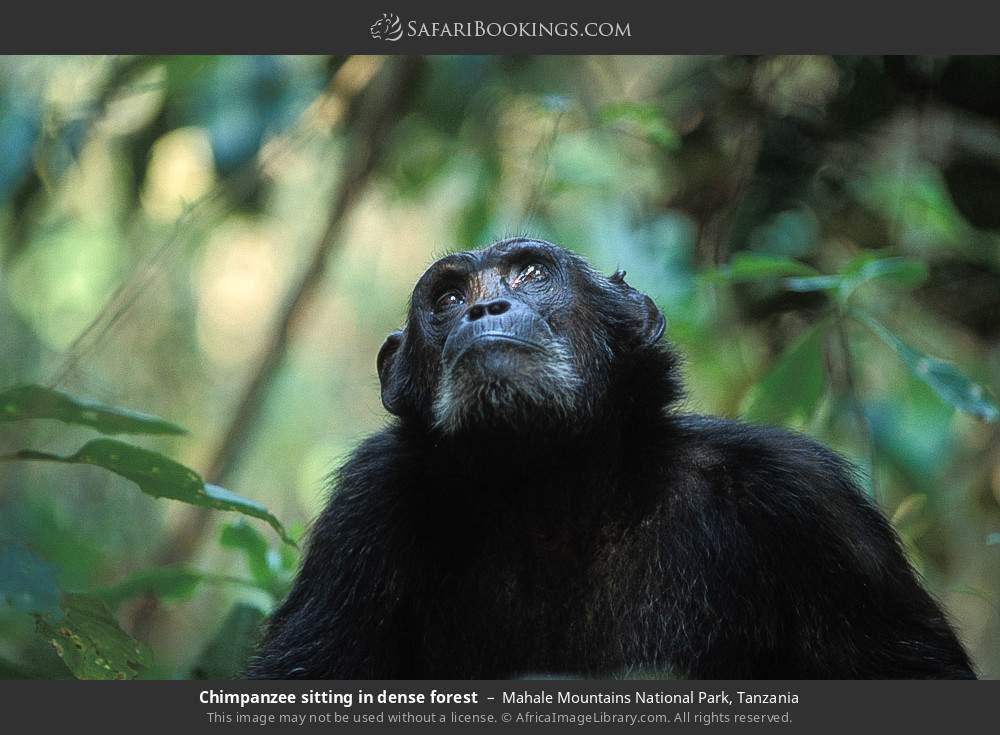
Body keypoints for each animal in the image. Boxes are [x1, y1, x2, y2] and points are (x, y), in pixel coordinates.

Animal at [248, 238, 975, 679]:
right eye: (448, 298)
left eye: (531, 273)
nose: (486, 306)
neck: (553, 487)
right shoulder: (364, 509)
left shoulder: (810, 502)